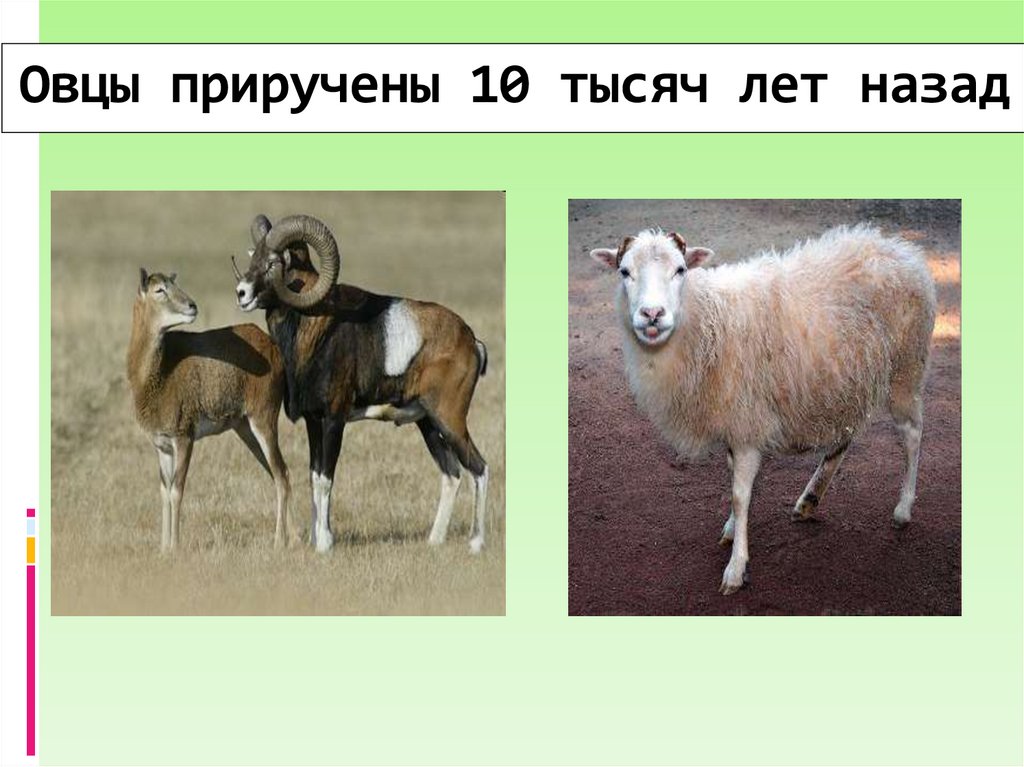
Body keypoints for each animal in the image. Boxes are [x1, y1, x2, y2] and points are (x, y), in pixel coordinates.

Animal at [126, 270, 290, 551]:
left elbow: (177, 490)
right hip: (246, 430)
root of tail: (272, 347)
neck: (158, 375)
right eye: (160, 290)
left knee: (281, 474)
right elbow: (164, 491)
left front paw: (175, 548)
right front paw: (163, 548)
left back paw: (279, 542)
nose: (192, 306)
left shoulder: (184, 438)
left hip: (263, 422)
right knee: (277, 473)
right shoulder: (162, 446)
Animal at [232, 214, 489, 553]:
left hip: (450, 420)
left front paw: (324, 545)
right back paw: (433, 542)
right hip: (428, 424)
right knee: (452, 475)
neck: (315, 330)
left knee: (479, 468)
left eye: (274, 262)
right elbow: (313, 476)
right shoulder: (314, 422)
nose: (241, 292)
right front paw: (316, 540)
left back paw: (476, 544)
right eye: (254, 256)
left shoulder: (334, 420)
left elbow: (325, 479)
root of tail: (472, 342)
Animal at [589, 225, 936, 595]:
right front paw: (731, 529)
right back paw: (810, 499)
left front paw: (735, 568)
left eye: (680, 270)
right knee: (845, 436)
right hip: (844, 381)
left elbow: (741, 495)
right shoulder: (736, 423)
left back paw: (903, 508)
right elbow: (733, 484)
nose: (652, 315)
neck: (707, 322)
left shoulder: (746, 425)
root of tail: (900, 250)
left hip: (905, 369)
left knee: (912, 434)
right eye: (624, 271)